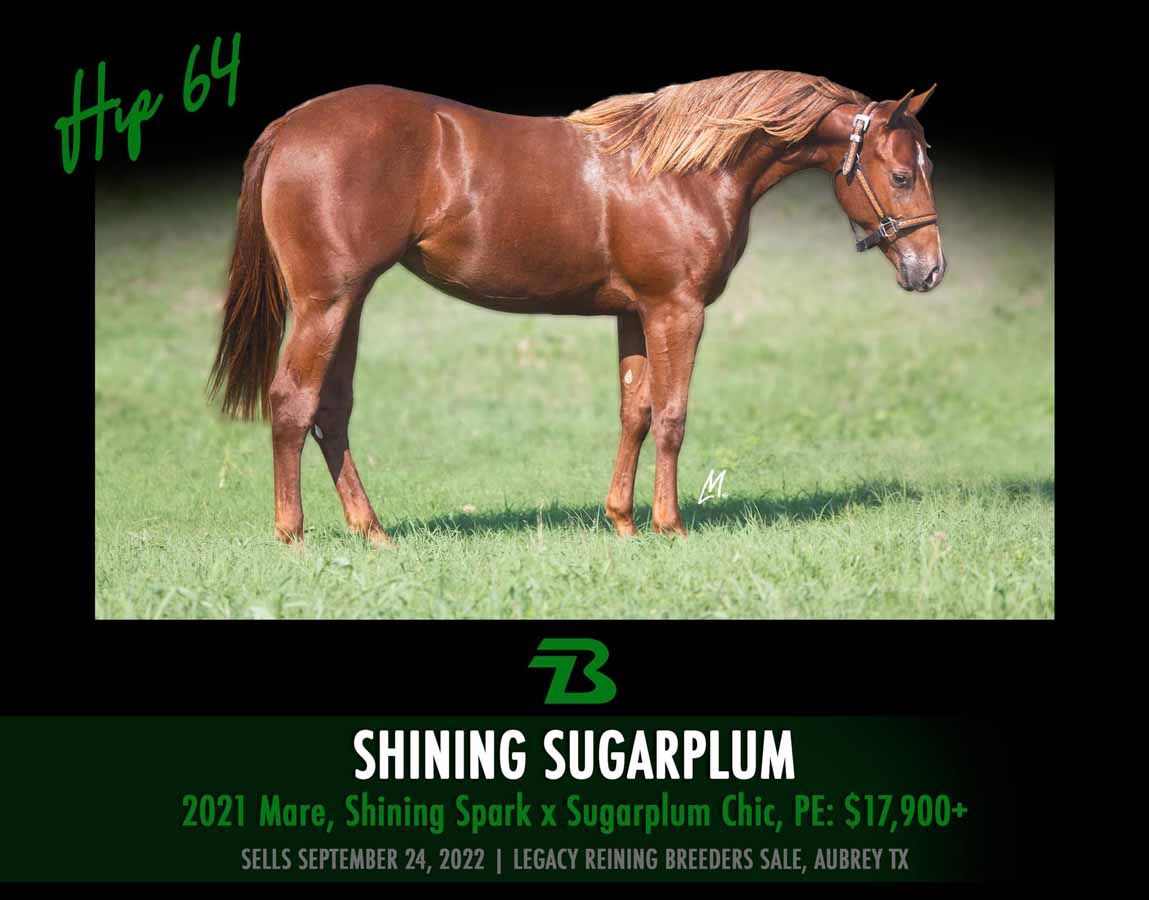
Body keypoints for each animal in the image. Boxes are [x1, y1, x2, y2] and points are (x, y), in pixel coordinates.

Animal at [208, 70, 944, 547]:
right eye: (901, 174)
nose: (929, 269)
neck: (681, 170)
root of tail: (289, 126)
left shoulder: (634, 314)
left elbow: (634, 413)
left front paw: (622, 522)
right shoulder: (676, 310)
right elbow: (672, 417)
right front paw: (670, 526)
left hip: (349, 303)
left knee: (330, 412)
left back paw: (373, 533)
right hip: (325, 305)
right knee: (292, 403)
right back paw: (294, 536)